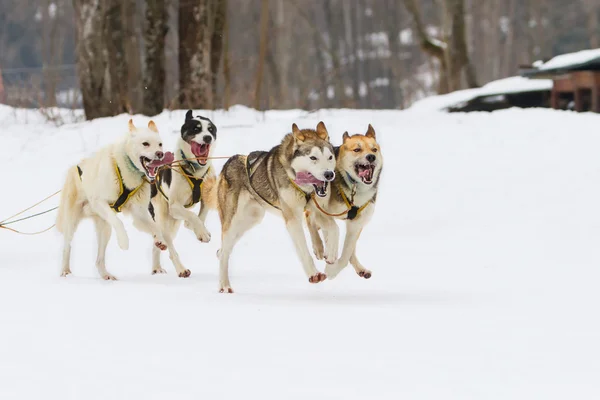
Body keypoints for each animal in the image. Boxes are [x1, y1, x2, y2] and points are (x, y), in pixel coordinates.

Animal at [56, 120, 172, 280]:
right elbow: (119, 222)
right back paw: (65, 271)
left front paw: (159, 240)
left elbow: (156, 227)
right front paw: (124, 242)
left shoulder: (139, 215)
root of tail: (73, 169)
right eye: (145, 143)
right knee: (66, 247)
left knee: (99, 260)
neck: (127, 172)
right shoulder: (100, 202)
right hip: (71, 223)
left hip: (105, 230)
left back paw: (106, 275)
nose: (160, 154)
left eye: (160, 144)